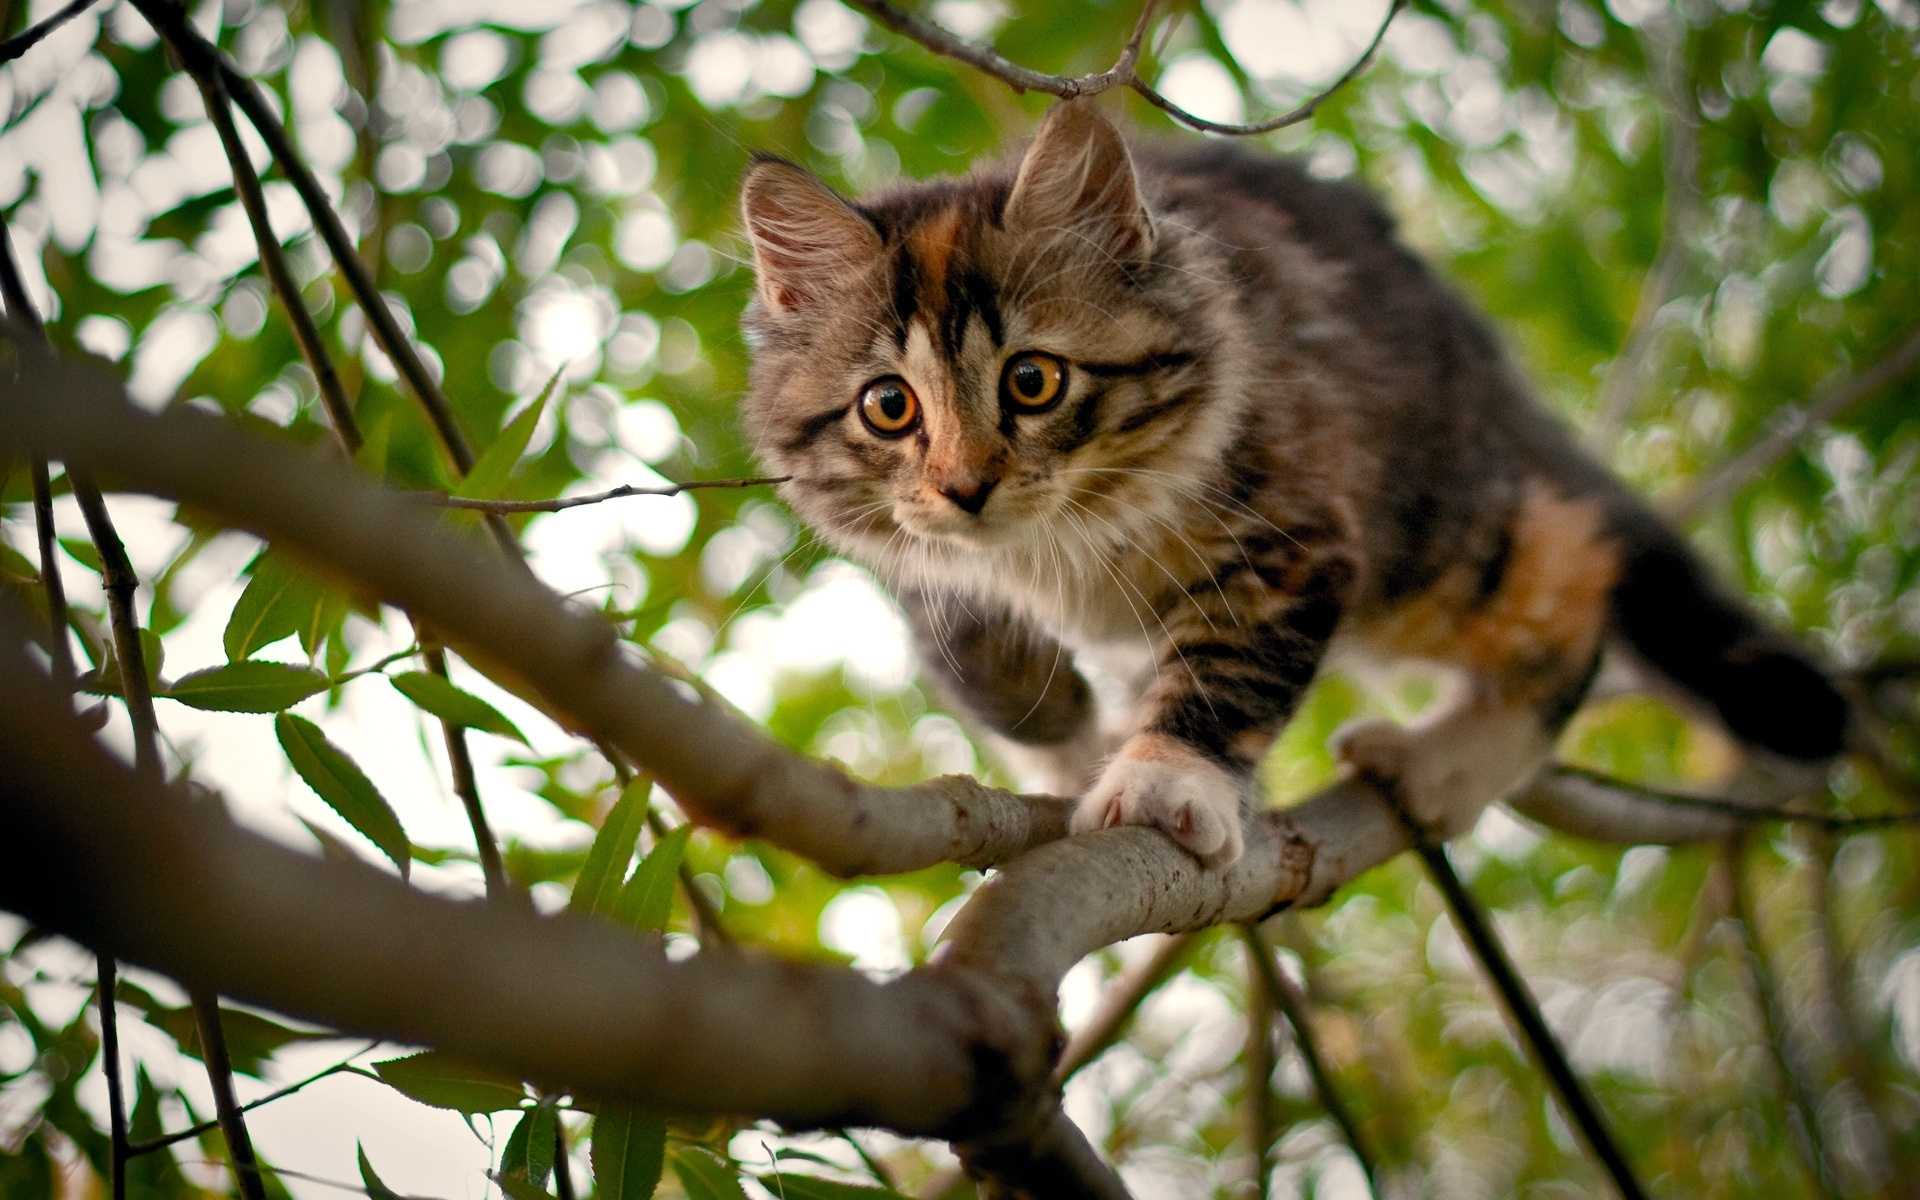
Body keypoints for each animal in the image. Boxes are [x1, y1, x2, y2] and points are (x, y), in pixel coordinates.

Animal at [733, 98, 1843, 864]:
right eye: (890, 407)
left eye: (1032, 381)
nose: (967, 487)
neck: (1056, 543)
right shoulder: (931, 574)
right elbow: (982, 668)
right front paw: (1070, 748)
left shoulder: (1291, 540)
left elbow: (1225, 677)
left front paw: (1160, 781)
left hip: (1433, 536)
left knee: (1576, 586)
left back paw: (1443, 770)